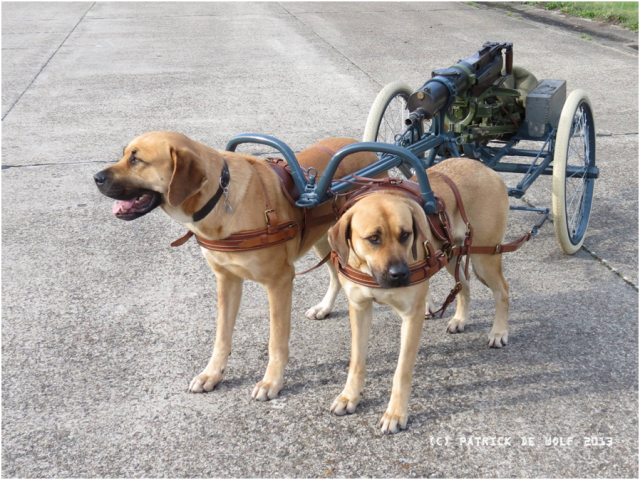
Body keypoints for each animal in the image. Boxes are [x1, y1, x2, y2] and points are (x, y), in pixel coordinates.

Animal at [94, 131, 380, 402]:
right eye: (124, 154)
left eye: (136, 160)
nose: (96, 177)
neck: (221, 197)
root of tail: (367, 150)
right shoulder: (226, 280)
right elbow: (222, 336)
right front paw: (212, 374)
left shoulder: (279, 283)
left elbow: (276, 342)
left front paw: (272, 381)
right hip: (325, 239)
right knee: (334, 273)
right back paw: (324, 307)